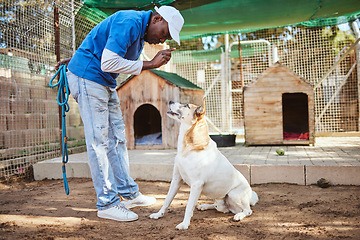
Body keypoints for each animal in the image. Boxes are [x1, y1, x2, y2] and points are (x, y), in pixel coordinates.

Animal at [150, 98, 258, 230]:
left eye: (186, 105)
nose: (170, 101)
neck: (188, 147)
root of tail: (250, 197)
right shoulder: (176, 179)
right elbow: (167, 200)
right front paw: (158, 214)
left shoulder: (196, 184)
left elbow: (188, 206)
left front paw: (184, 224)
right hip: (220, 202)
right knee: (221, 208)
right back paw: (205, 206)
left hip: (234, 194)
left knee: (248, 211)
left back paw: (239, 216)